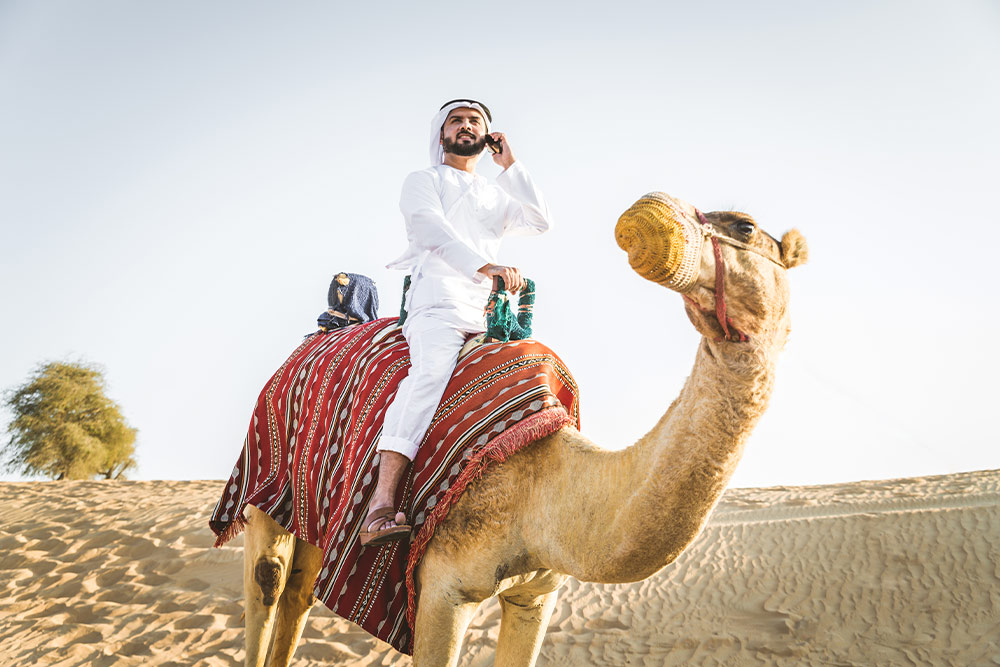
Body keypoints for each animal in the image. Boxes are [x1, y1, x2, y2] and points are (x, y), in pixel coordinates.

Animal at [238, 190, 808, 664]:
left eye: (745, 226)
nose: (652, 218)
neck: (548, 491)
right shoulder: (442, 590)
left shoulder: (537, 594)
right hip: (266, 477)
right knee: (270, 581)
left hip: (320, 511)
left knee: (300, 593)